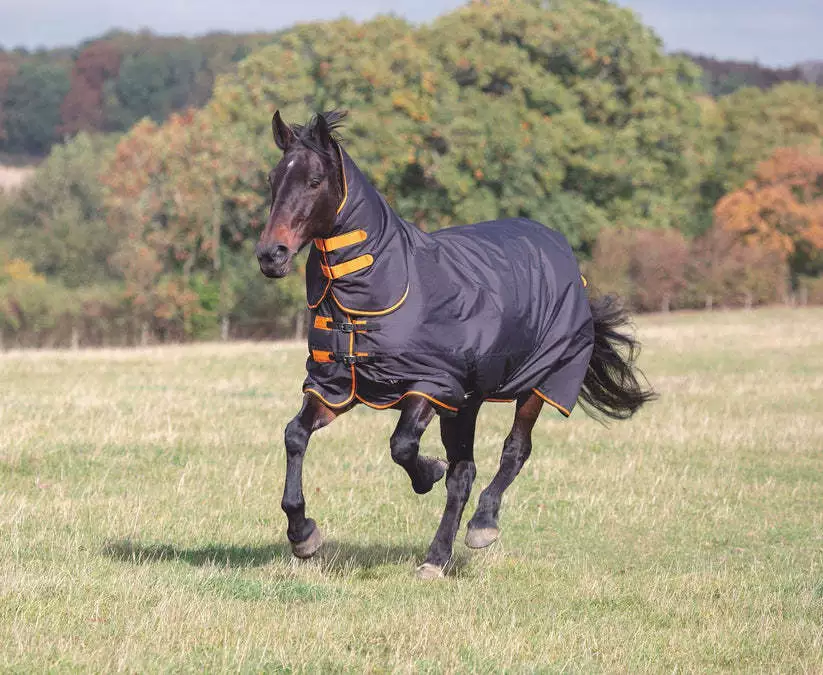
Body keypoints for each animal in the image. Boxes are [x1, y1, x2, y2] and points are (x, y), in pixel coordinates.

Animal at [255, 110, 656, 579]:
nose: (271, 254)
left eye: (315, 180)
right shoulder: (337, 387)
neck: (382, 284)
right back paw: (437, 556)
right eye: (273, 178)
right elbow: (295, 435)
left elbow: (403, 445)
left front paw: (427, 472)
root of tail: (563, 253)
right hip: (466, 403)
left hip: (535, 384)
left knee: (513, 452)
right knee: (464, 473)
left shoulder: (431, 385)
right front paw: (303, 534)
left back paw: (481, 526)